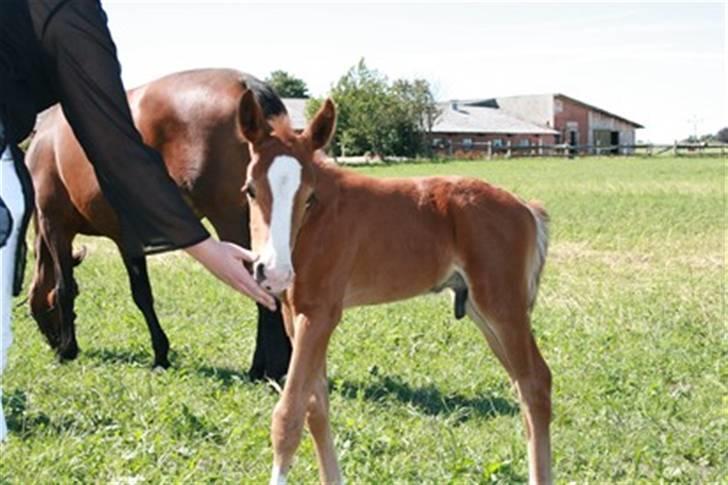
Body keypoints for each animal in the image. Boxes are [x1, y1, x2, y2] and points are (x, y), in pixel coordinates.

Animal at [25, 68, 292, 378]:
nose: (54, 342)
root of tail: (244, 84)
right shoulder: (125, 237)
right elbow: (142, 294)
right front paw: (161, 354)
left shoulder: (54, 226)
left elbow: (64, 287)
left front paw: (68, 349)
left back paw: (266, 367)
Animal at [239, 91, 552, 484]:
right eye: (250, 190)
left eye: (309, 196)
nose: (274, 271)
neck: (317, 224)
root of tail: (526, 207)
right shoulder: (294, 314)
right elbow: (316, 406)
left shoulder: (320, 314)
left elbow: (290, 414)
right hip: (482, 310)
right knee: (522, 385)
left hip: (502, 305)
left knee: (536, 383)